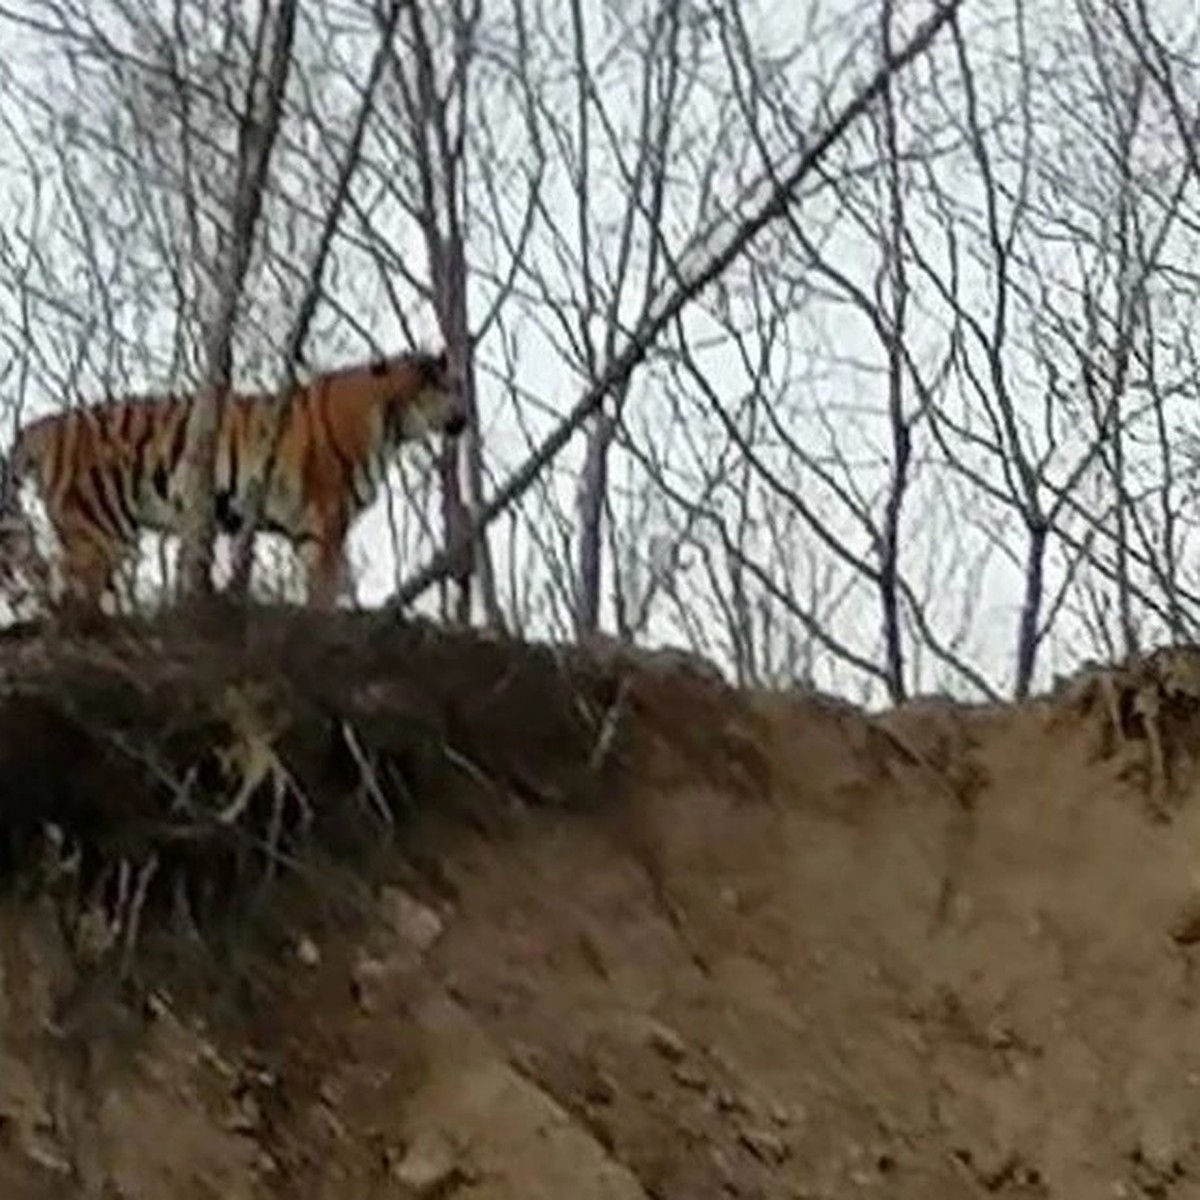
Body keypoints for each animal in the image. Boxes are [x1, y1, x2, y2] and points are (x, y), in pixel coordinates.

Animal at [0, 343, 465, 614]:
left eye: (456, 386)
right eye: (443, 387)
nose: (464, 418)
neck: (392, 420)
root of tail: (45, 425)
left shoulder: (308, 527)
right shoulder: (327, 515)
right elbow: (327, 582)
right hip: (98, 528)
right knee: (71, 592)